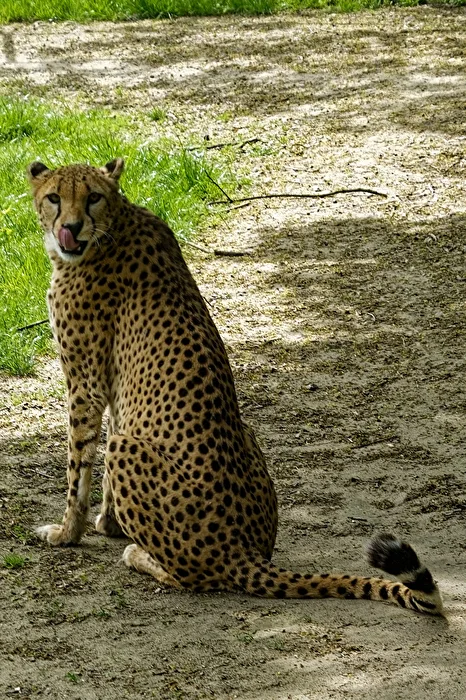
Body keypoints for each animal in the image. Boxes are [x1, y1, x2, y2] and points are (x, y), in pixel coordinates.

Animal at [27, 158, 443, 616]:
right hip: (246, 435)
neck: (115, 223)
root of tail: (240, 549)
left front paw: (67, 532)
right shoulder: (116, 391)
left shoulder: (85, 385)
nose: (71, 226)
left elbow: (77, 465)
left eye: (93, 197)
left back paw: (139, 553)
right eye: (54, 197)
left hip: (129, 453)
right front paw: (110, 521)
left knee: (193, 577)